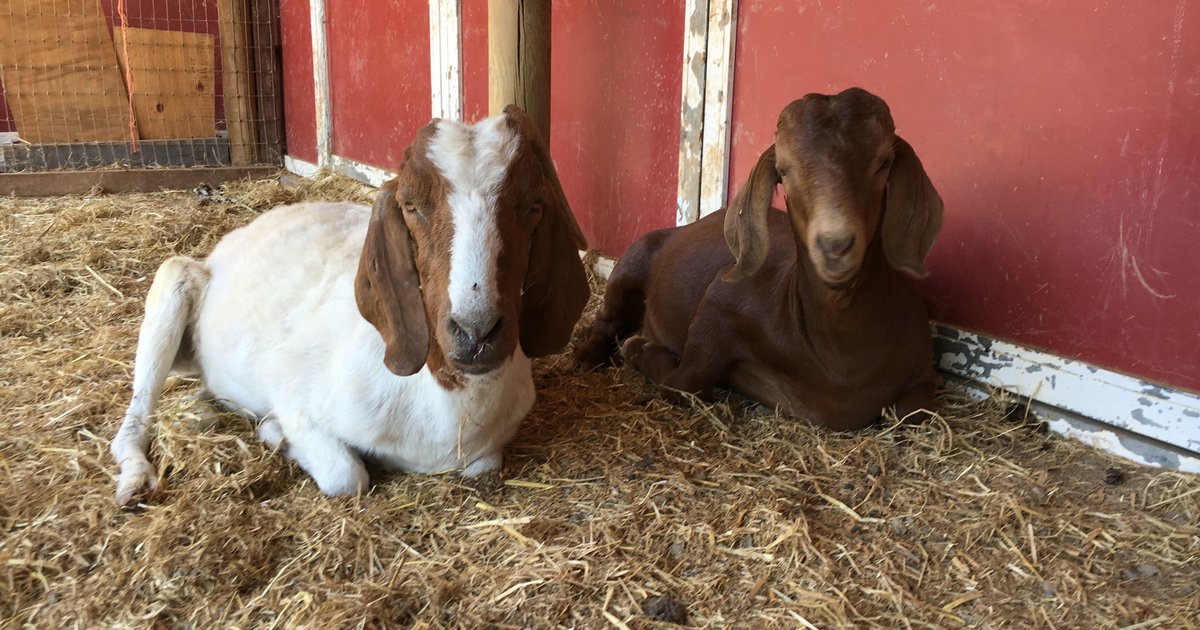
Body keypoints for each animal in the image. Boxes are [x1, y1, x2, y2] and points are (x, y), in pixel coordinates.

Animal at [111, 106, 589, 504]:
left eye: (533, 205)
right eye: (410, 205)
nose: (476, 332)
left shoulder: (487, 451)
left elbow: (482, 466)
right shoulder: (292, 390)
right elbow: (346, 475)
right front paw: (276, 432)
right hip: (174, 282)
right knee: (135, 416)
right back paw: (135, 479)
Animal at [574, 88, 944, 430]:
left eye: (884, 163)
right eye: (784, 170)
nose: (835, 246)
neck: (838, 356)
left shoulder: (921, 372)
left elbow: (916, 415)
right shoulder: (719, 304)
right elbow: (681, 385)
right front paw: (640, 349)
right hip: (634, 259)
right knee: (606, 319)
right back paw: (587, 355)